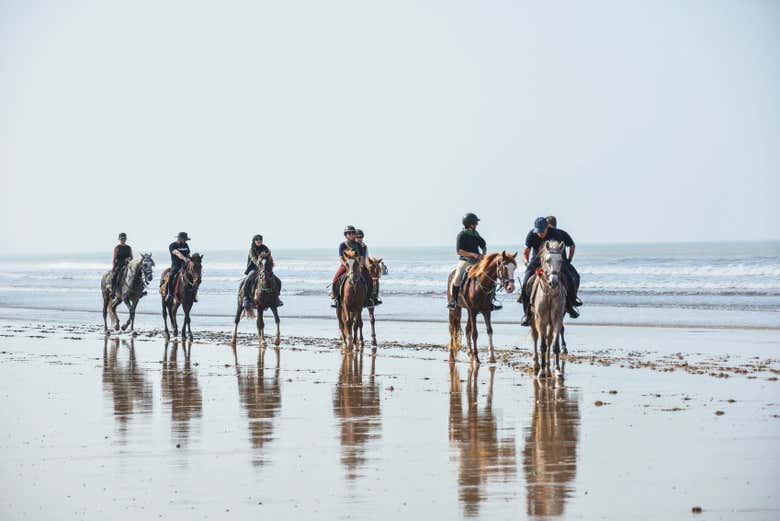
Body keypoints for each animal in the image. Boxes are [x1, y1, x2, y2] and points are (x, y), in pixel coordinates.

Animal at [528, 240, 568, 378]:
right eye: (547, 260)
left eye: (561, 260)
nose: (553, 282)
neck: (550, 294)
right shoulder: (541, 320)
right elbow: (542, 345)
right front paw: (541, 371)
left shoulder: (557, 319)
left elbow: (554, 345)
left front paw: (557, 370)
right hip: (533, 319)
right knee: (535, 337)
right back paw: (536, 363)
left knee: (549, 340)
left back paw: (548, 365)